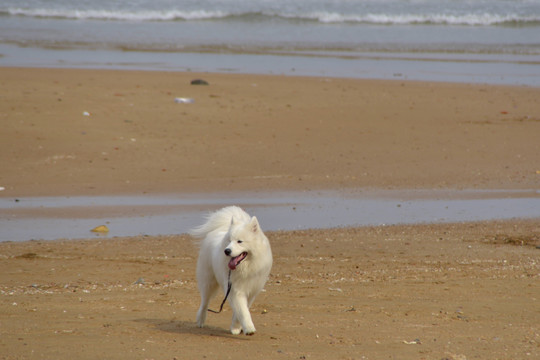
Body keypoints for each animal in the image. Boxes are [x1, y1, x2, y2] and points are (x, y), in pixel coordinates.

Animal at [191, 207, 274, 336]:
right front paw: (248, 328)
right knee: (205, 301)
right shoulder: (235, 290)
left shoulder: (251, 291)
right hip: (208, 281)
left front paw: (236, 327)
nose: (227, 251)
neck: (245, 268)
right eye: (229, 241)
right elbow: (243, 311)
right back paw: (200, 320)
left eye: (239, 241)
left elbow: (241, 310)